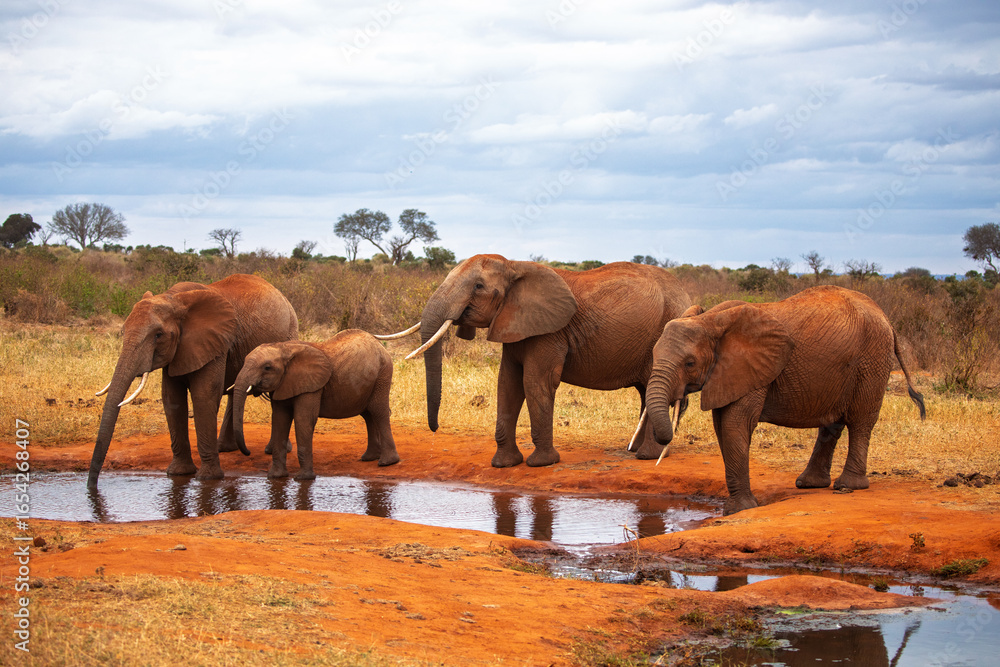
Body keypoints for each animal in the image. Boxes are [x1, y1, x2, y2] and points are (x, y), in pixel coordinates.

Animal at [88, 274, 298, 488]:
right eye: (123, 332)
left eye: (158, 335)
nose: (92, 486)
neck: (173, 298)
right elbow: (172, 399)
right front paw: (178, 473)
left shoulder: (214, 342)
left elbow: (204, 395)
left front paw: (207, 478)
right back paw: (225, 448)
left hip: (288, 334)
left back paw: (270, 450)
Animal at [230, 329, 399, 480]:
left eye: (267, 367)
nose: (248, 452)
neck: (284, 348)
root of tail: (379, 345)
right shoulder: (283, 384)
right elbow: (279, 420)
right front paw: (275, 477)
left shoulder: (311, 386)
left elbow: (303, 420)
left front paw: (303, 478)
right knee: (368, 414)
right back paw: (369, 458)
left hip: (383, 374)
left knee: (378, 411)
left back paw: (387, 462)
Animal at [382, 254, 691, 467]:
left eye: (479, 286)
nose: (435, 429)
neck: (514, 265)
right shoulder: (514, 324)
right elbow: (507, 383)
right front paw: (504, 464)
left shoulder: (549, 332)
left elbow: (534, 382)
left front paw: (541, 463)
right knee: (645, 391)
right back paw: (637, 449)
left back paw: (647, 455)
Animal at [643, 285, 926, 515]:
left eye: (689, 363)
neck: (709, 320)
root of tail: (886, 318)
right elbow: (722, 426)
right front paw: (741, 506)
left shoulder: (751, 370)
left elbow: (735, 424)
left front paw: (739, 510)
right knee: (832, 424)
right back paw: (809, 484)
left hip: (872, 359)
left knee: (860, 421)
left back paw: (848, 486)